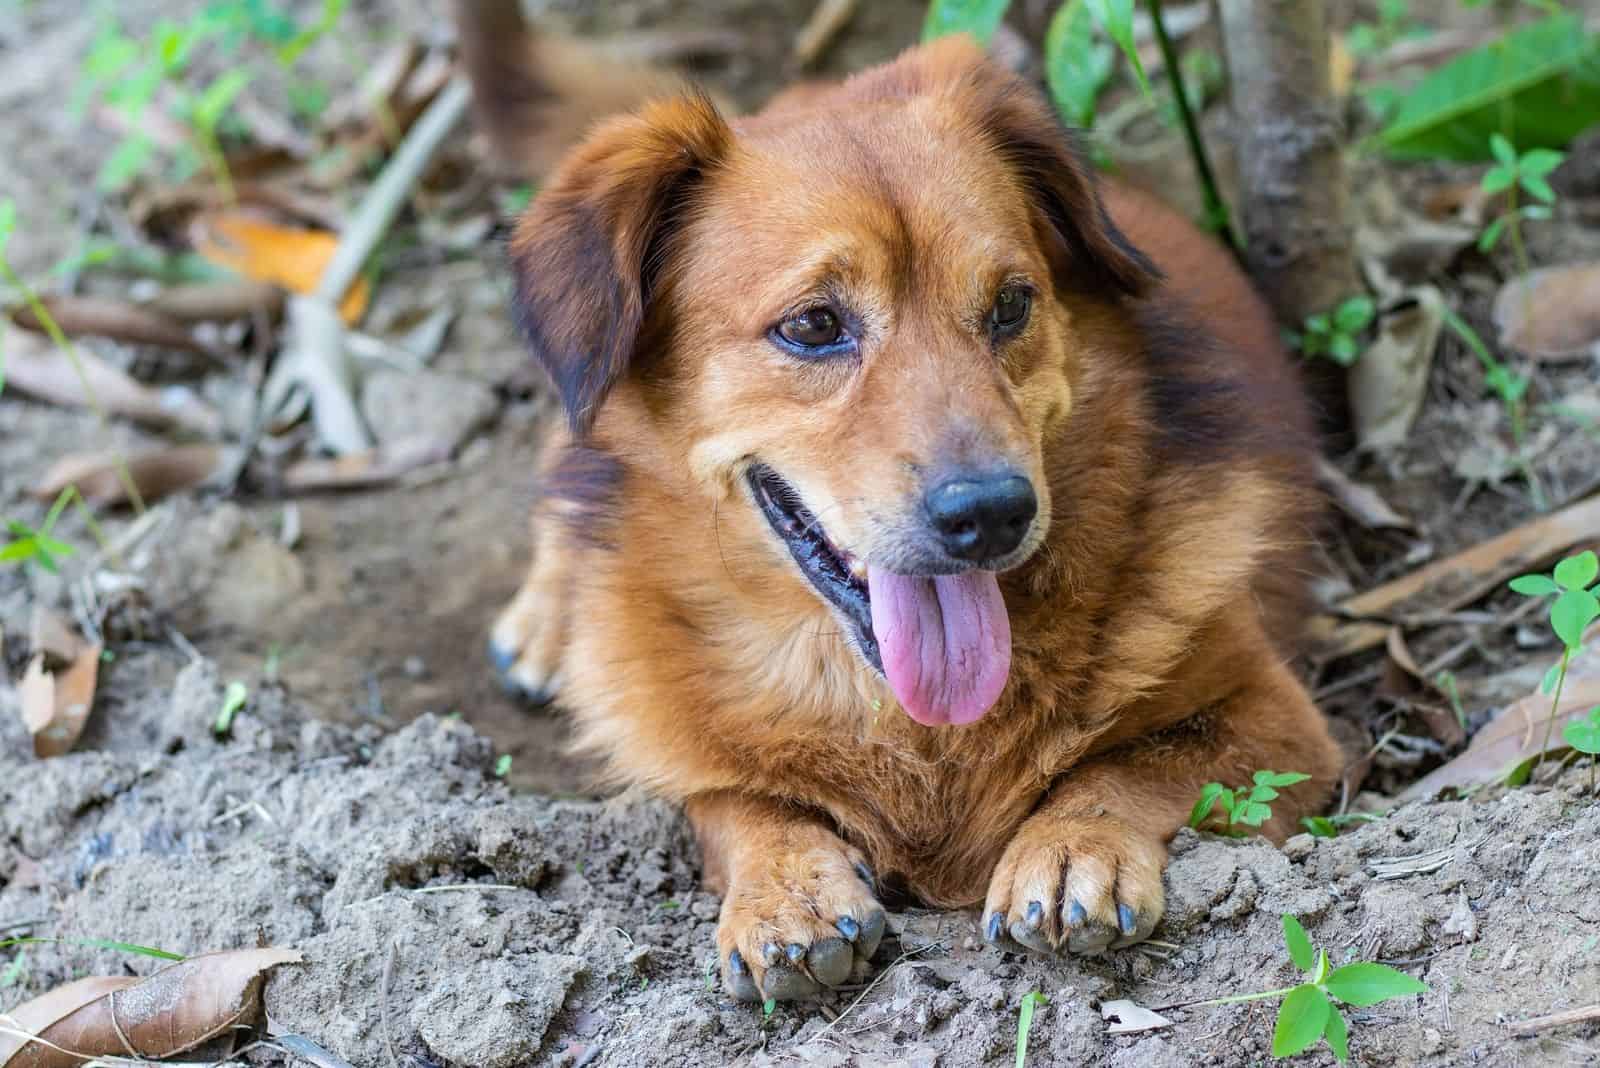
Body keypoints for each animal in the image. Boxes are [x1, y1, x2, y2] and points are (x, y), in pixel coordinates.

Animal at [460, 2, 1337, 1004]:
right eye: (813, 325)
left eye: (1011, 304)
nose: (992, 513)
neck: (904, 724)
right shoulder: (689, 759)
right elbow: (733, 801)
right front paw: (784, 884)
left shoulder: (1280, 720)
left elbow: (1137, 760)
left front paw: (1073, 843)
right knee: (564, 460)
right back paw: (544, 619)